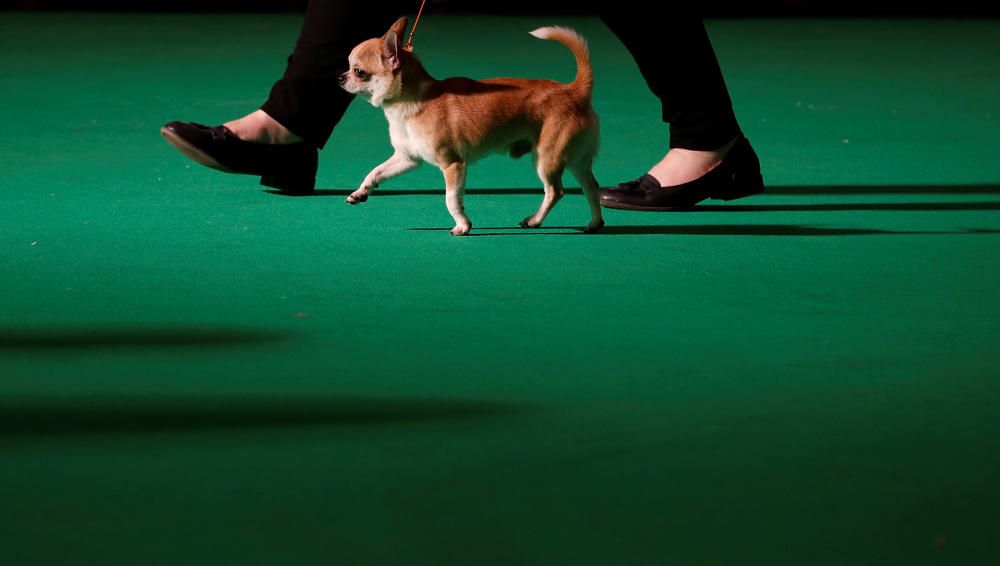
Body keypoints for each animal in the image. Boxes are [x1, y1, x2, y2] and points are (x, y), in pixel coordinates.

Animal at [340, 17, 600, 235]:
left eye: (359, 71)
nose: (340, 77)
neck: (411, 102)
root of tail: (574, 90)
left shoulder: (453, 164)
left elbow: (451, 199)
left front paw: (463, 226)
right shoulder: (408, 158)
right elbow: (375, 172)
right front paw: (360, 192)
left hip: (547, 158)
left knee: (555, 191)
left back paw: (536, 220)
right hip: (576, 160)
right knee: (591, 186)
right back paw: (594, 224)